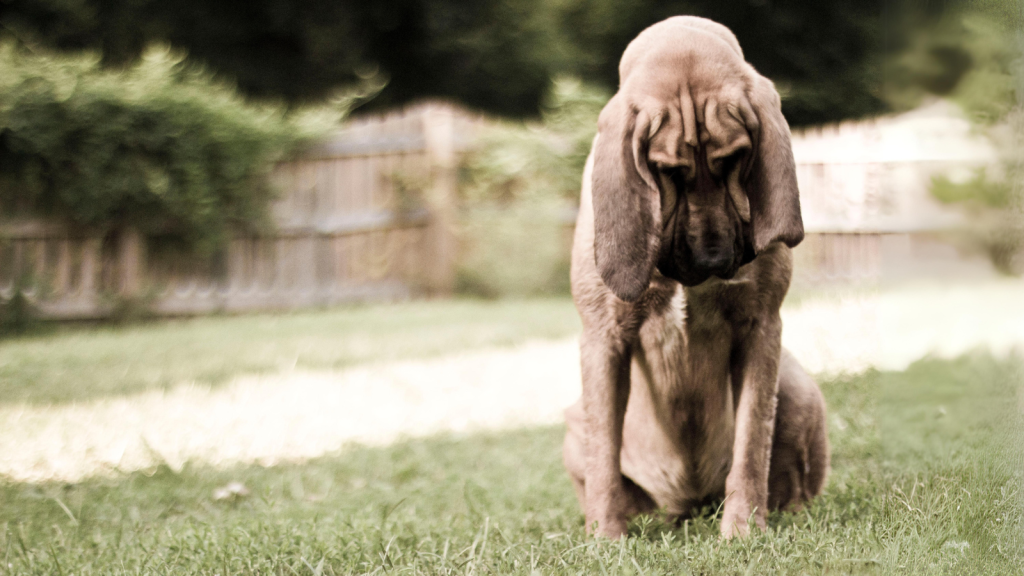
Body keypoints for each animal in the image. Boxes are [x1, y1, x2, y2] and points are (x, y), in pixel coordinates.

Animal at [565, 16, 827, 537]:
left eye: (734, 158)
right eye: (666, 170)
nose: (711, 260)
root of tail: (690, 502)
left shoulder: (760, 329)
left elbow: (751, 444)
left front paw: (743, 529)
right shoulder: (604, 339)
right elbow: (605, 457)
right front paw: (605, 537)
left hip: (800, 389)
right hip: (572, 420)